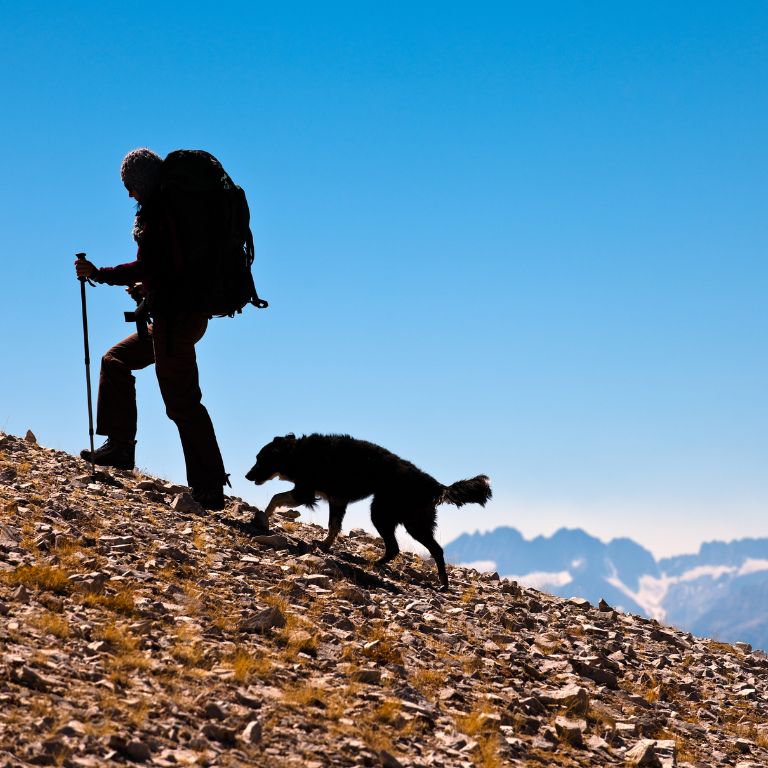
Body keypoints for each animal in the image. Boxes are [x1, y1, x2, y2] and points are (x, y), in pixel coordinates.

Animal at [246, 432, 492, 588]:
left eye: (261, 459)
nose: (247, 476)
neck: (298, 453)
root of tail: (433, 484)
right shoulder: (337, 500)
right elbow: (333, 525)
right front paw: (324, 545)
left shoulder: (305, 492)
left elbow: (276, 498)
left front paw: (263, 517)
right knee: (417, 548)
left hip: (387, 515)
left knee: (408, 548)